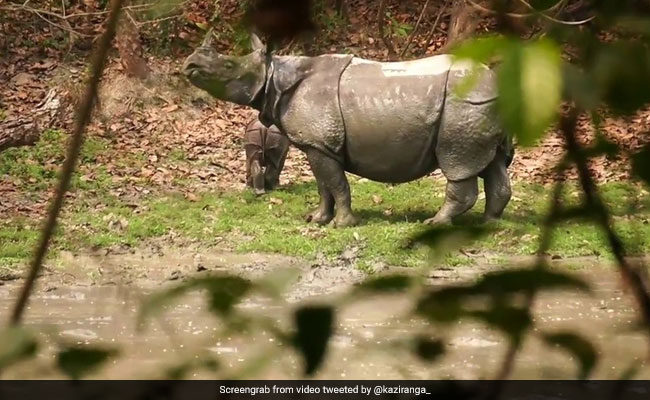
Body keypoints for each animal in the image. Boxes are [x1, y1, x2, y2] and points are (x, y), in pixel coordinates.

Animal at [183, 32, 513, 227]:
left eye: (228, 66)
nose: (190, 64)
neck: (275, 73)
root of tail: (497, 82)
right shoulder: (317, 145)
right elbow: (323, 186)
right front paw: (316, 219)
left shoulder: (320, 143)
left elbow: (336, 183)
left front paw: (342, 224)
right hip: (480, 103)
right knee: (491, 162)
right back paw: (490, 224)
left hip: (463, 103)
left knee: (457, 162)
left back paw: (435, 223)